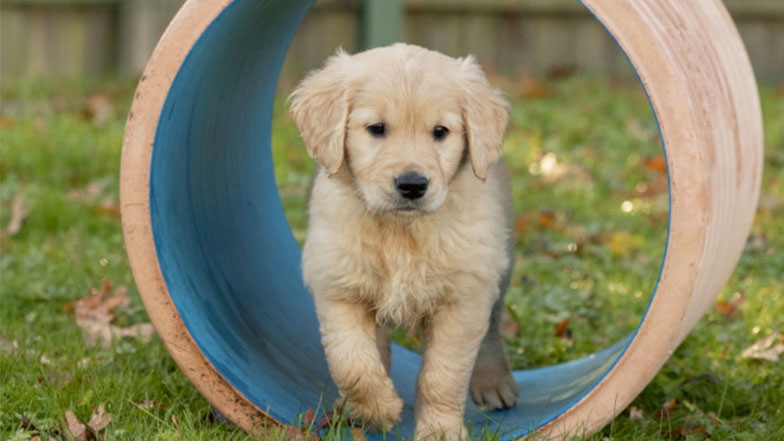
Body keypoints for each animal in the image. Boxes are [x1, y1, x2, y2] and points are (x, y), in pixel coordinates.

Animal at [290, 42, 516, 440]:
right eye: (376, 129)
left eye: (440, 131)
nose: (412, 184)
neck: (401, 231)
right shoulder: (339, 287)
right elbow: (352, 362)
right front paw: (378, 410)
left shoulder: (463, 298)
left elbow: (442, 375)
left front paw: (440, 430)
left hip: (497, 266)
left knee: (491, 327)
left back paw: (494, 382)